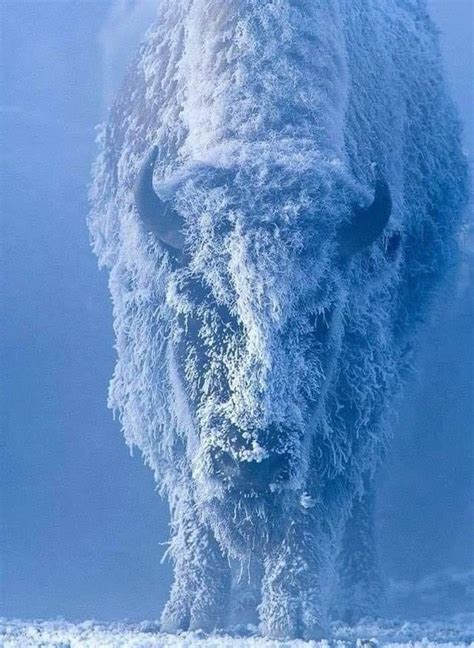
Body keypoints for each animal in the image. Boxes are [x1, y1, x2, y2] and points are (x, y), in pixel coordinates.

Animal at [88, 0, 466, 636]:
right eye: (198, 304)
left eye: (320, 316)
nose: (253, 462)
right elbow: (192, 494)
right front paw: (192, 614)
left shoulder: (348, 379)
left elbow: (314, 501)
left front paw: (295, 620)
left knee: (360, 484)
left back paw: (358, 597)